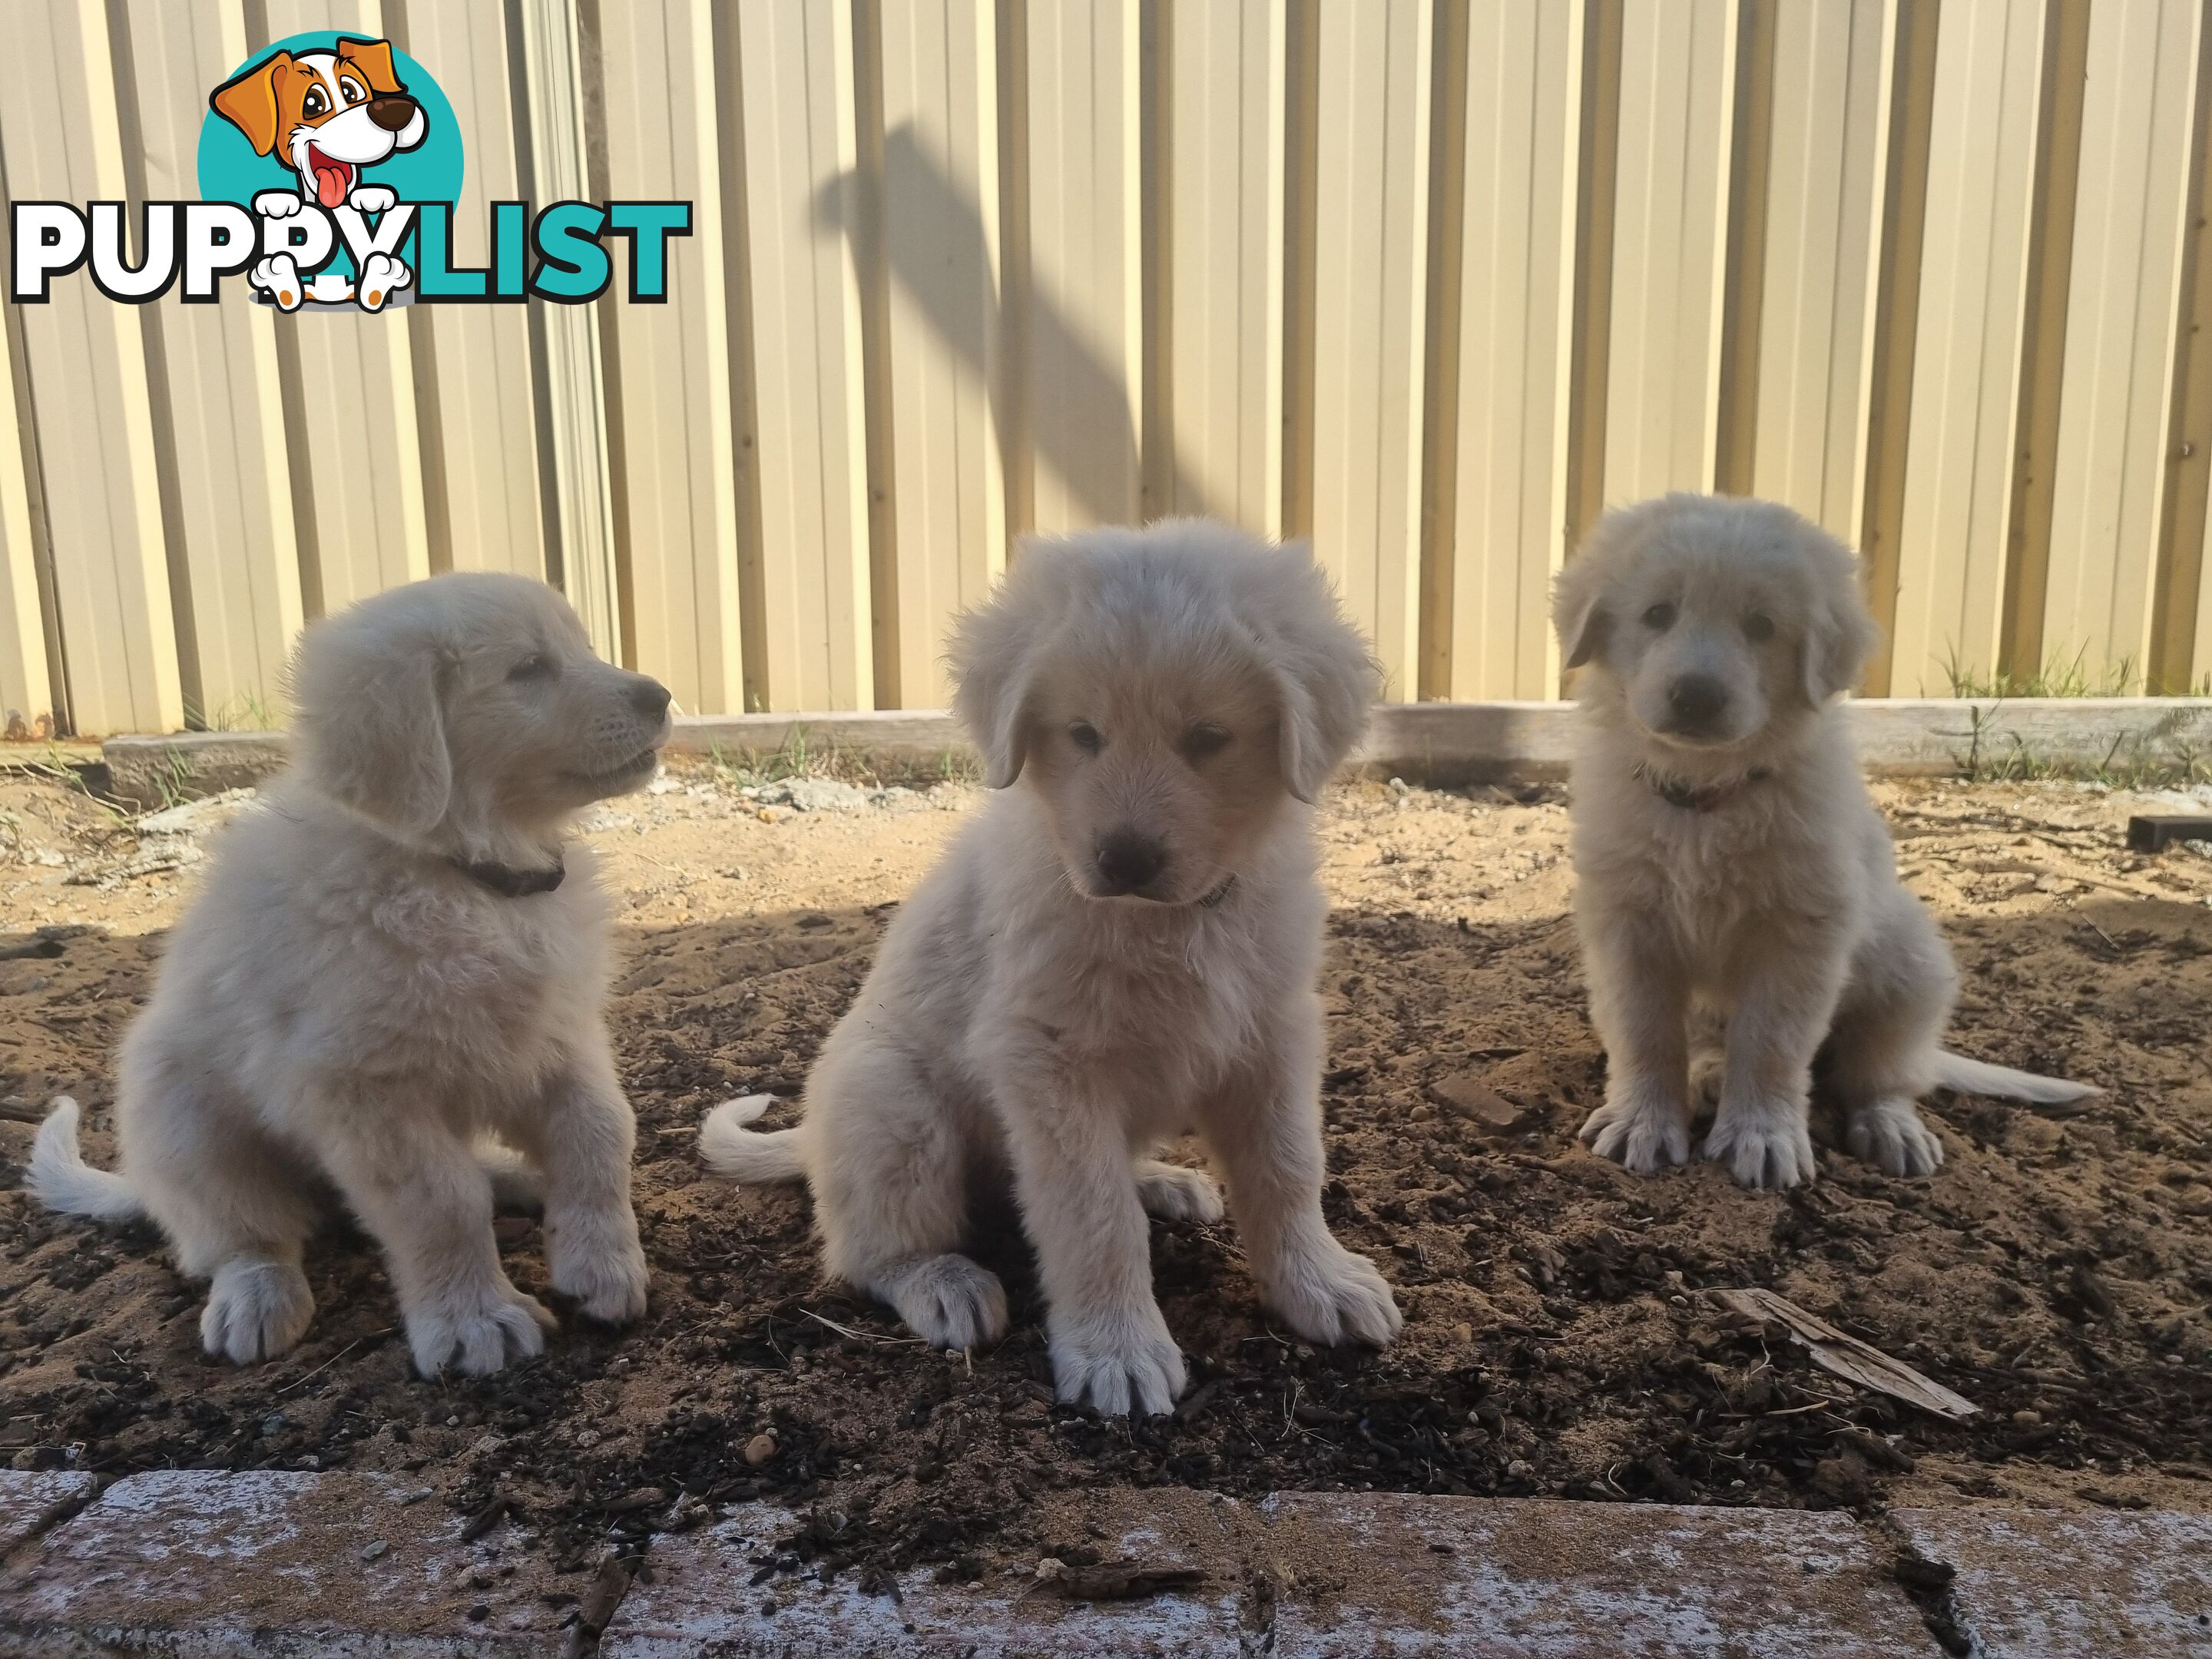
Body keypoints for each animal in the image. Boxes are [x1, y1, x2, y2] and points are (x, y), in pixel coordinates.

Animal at [30, 571, 667, 1380]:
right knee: (241, 1235)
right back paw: (256, 1299)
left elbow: (601, 1134)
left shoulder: (557, 1036)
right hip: (183, 1123)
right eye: (528, 668)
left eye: (582, 647)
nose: (661, 696)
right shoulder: (368, 1088)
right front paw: (474, 1319)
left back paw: (518, 1177)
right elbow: (440, 1203)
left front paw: (604, 1267)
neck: (468, 877)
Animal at [703, 519, 1398, 1416]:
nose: (1124, 859)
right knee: (864, 1251)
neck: (1169, 922)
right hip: (894, 1107)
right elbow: (1092, 1216)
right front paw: (1117, 1350)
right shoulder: (1049, 1059)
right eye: (1082, 734)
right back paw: (943, 1282)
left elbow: (1287, 1169)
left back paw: (1162, 1180)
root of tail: (815, 1141)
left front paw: (1321, 1284)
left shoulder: (1271, 1034)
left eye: (1209, 739)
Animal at [1557, 493, 2088, 1194]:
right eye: (1657, 614)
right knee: (1710, 1042)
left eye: (1761, 626)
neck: (1709, 797)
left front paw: (1761, 1138)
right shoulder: (1628, 926)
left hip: (1910, 969)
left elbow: (1772, 1043)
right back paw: (1708, 1075)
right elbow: (1645, 1033)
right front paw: (1641, 1122)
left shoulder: (1803, 933)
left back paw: (1892, 1129)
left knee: (1883, 1075)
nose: (1696, 695)